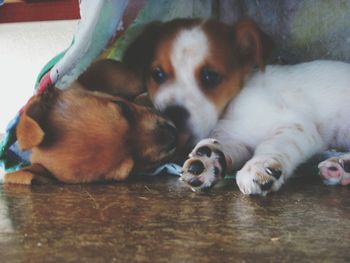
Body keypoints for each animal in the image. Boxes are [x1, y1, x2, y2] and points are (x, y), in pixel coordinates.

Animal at [122, 18, 350, 195]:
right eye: (158, 74)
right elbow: (225, 147)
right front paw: (207, 161)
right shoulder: (237, 140)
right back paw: (340, 167)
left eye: (210, 76)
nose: (173, 114)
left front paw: (262, 167)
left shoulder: (297, 125)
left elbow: (273, 145)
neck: (227, 112)